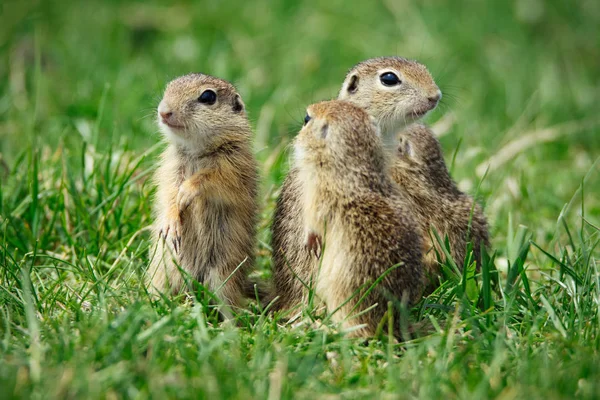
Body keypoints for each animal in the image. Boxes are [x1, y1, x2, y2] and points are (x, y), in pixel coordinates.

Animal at [148, 73, 258, 314]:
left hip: (222, 276)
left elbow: (211, 180)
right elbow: (169, 194)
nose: (164, 111)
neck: (197, 150)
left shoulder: (233, 167)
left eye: (208, 97)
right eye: (169, 87)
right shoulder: (171, 169)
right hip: (164, 270)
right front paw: (171, 223)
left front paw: (188, 191)